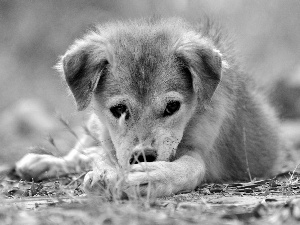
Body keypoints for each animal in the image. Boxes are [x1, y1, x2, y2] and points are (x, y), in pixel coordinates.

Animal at [14, 17, 282, 197]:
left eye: (172, 106)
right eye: (118, 110)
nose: (142, 156)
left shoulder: (202, 150)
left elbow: (189, 168)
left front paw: (149, 178)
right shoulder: (109, 136)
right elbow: (104, 156)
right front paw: (105, 174)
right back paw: (47, 162)